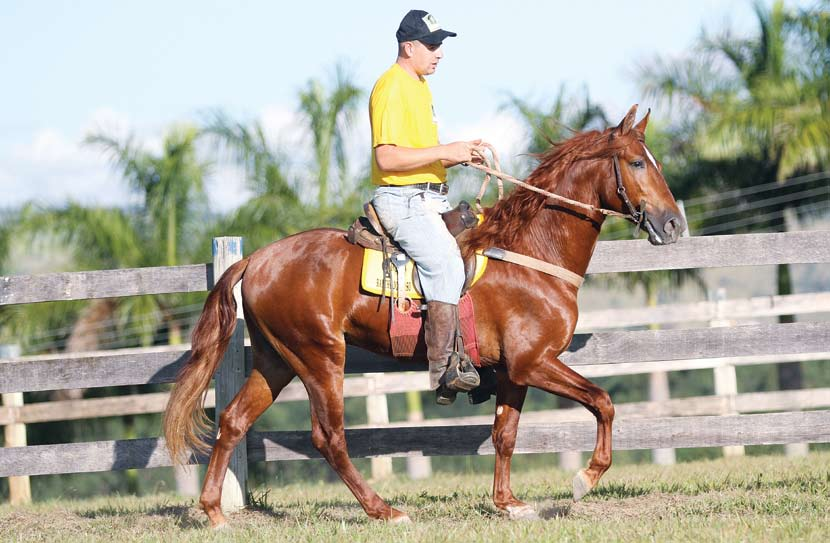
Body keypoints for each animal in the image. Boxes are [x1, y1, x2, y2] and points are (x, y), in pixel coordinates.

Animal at [164, 105, 688, 528]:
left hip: (276, 359)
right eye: (637, 162)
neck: (531, 252)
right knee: (329, 437)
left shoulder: (512, 371)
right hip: (319, 357)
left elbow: (505, 433)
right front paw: (585, 477)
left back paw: (214, 513)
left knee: (233, 421)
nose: (673, 224)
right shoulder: (533, 363)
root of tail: (256, 259)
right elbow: (603, 401)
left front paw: (508, 503)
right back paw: (383, 510)